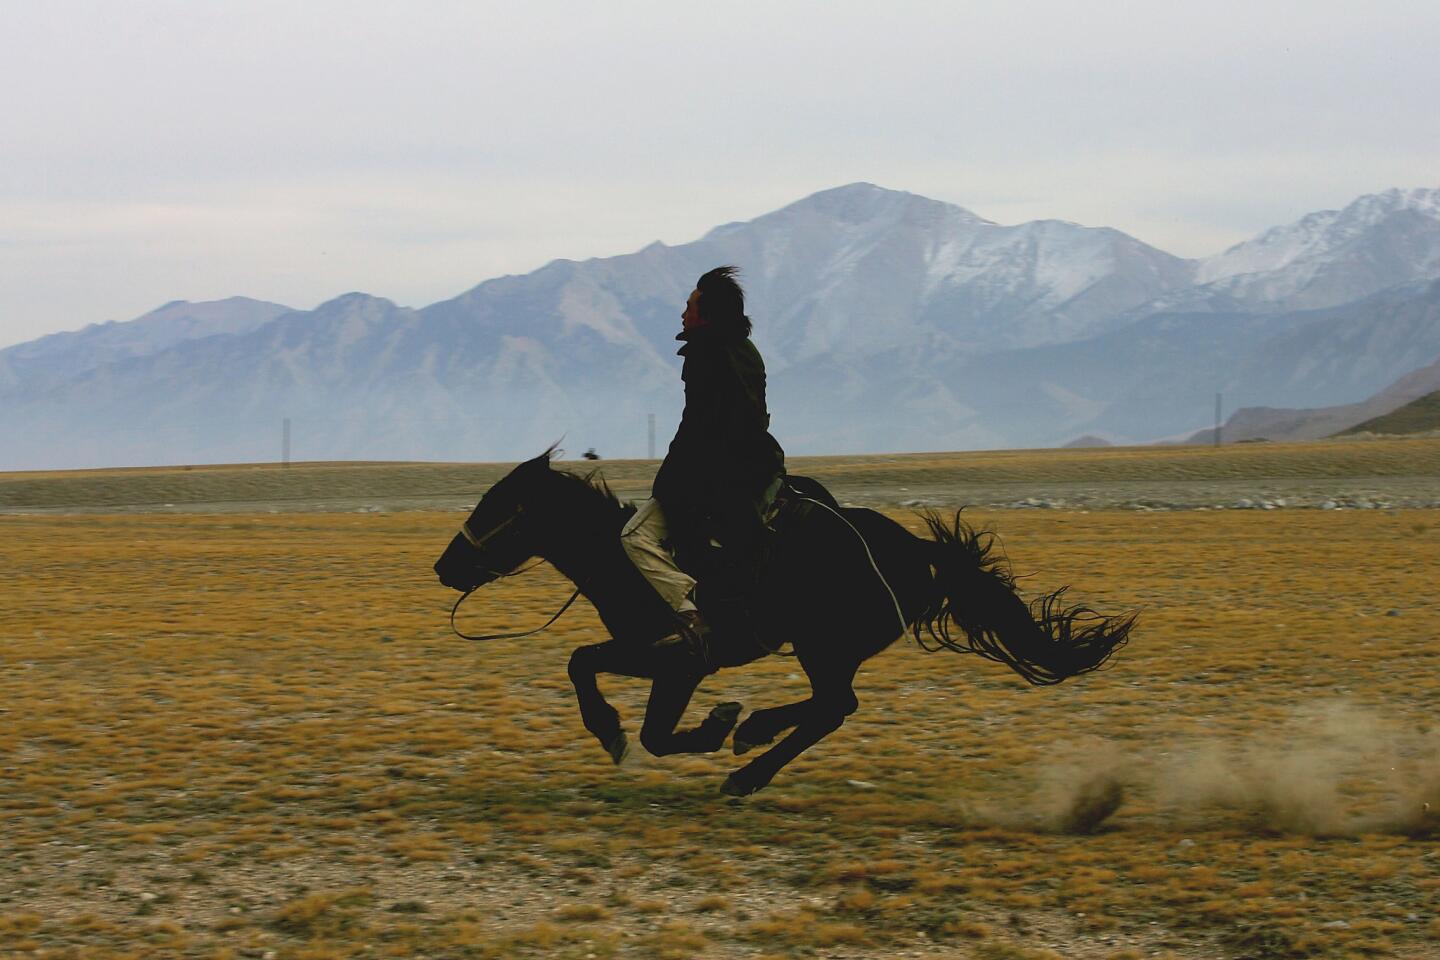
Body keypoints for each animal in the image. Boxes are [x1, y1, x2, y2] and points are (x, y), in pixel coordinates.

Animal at [432, 451, 1128, 794]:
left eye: (496, 507)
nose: (444, 566)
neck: (623, 557)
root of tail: (919, 552)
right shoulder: (655, 655)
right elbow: (589, 668)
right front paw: (635, 730)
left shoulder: (679, 657)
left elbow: (648, 724)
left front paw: (699, 726)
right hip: (827, 648)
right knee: (830, 706)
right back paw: (753, 737)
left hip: (826, 646)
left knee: (834, 706)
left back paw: (747, 760)